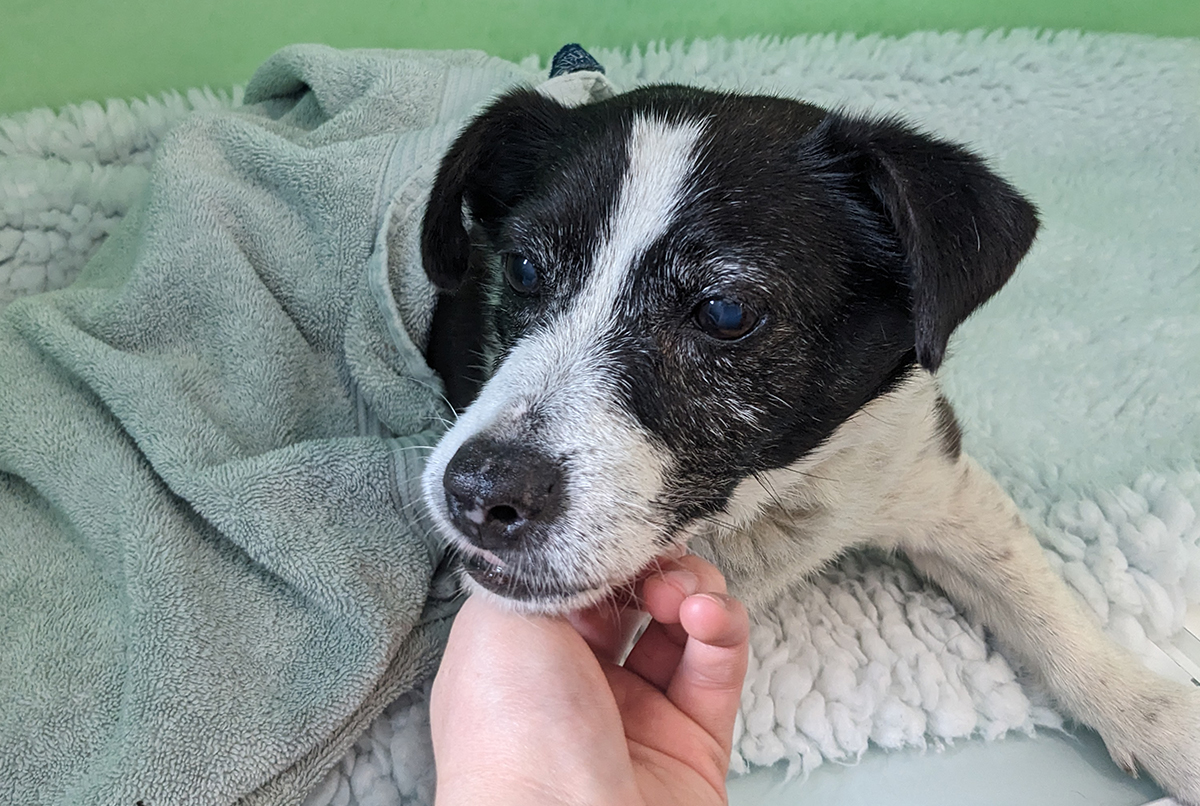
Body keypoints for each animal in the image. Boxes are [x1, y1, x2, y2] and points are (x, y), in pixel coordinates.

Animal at [415, 81, 1200, 801]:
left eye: (726, 312)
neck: (772, 495)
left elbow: (1047, 611)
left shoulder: (932, 471)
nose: (478, 492)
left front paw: (1164, 723)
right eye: (521, 269)